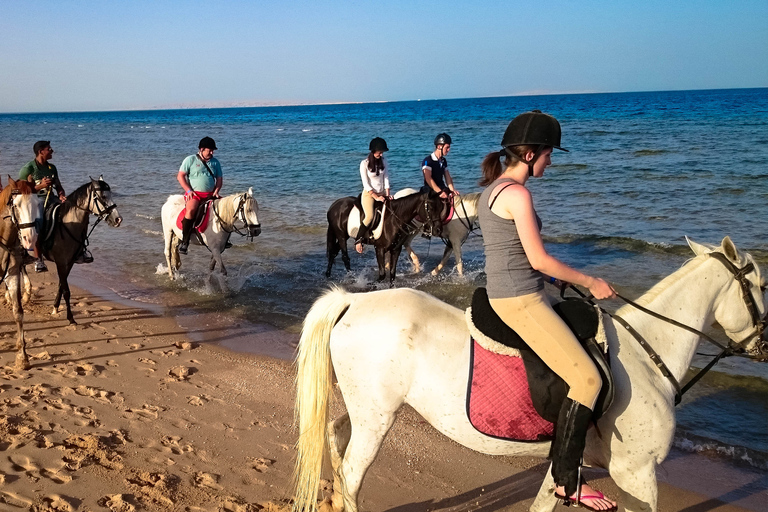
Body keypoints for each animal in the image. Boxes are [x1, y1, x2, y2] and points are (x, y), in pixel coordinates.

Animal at [292, 238, 760, 512]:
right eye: (761, 287)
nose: (763, 345)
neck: (647, 357)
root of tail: (353, 301)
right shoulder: (637, 474)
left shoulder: (565, 463)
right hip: (377, 419)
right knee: (352, 475)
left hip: (367, 410)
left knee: (336, 438)